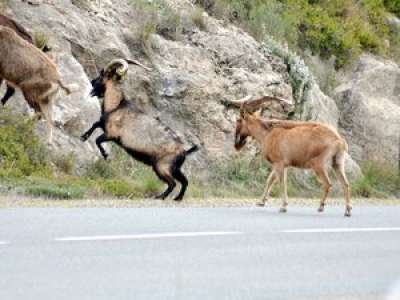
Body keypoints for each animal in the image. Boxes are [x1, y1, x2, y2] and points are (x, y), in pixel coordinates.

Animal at [81, 59, 198, 200]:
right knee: (184, 181)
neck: (115, 106)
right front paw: (83, 136)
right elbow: (95, 124)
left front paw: (105, 155)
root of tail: (184, 151)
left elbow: (98, 140)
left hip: (162, 166)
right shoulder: (104, 125)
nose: (92, 82)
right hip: (175, 168)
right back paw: (177, 198)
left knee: (172, 183)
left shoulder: (112, 135)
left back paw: (160, 197)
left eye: (103, 74)